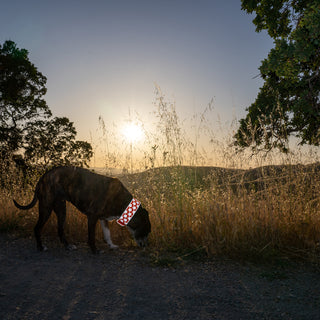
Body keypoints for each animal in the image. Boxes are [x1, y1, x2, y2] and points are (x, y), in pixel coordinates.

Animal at [13, 166, 151, 254]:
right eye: (147, 230)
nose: (147, 246)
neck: (123, 203)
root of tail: (43, 177)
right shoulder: (92, 217)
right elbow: (91, 236)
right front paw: (94, 250)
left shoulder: (103, 219)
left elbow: (107, 234)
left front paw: (111, 245)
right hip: (46, 208)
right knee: (37, 228)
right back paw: (41, 247)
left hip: (61, 209)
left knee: (60, 230)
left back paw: (68, 246)